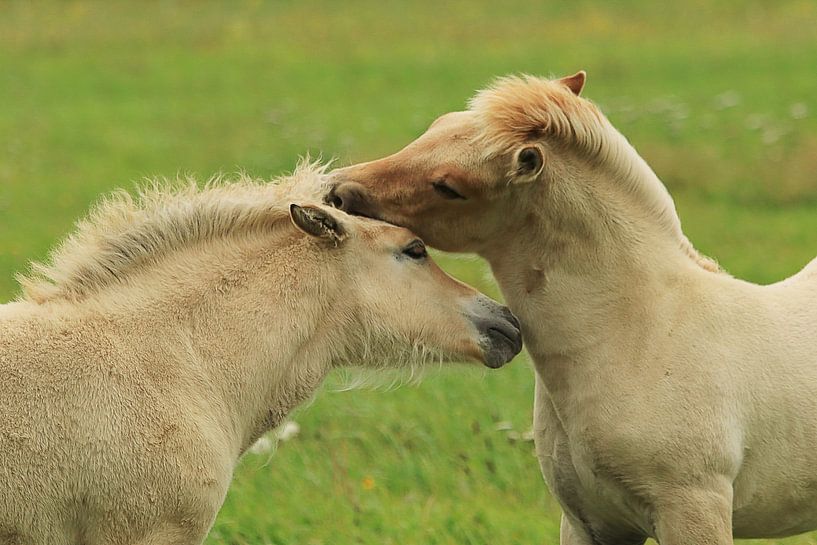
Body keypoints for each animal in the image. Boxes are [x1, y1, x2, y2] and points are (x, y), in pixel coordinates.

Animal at [324, 73, 817, 545]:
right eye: (436, 126)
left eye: (449, 186)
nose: (335, 192)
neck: (640, 335)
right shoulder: (589, 523)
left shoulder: (694, 511)